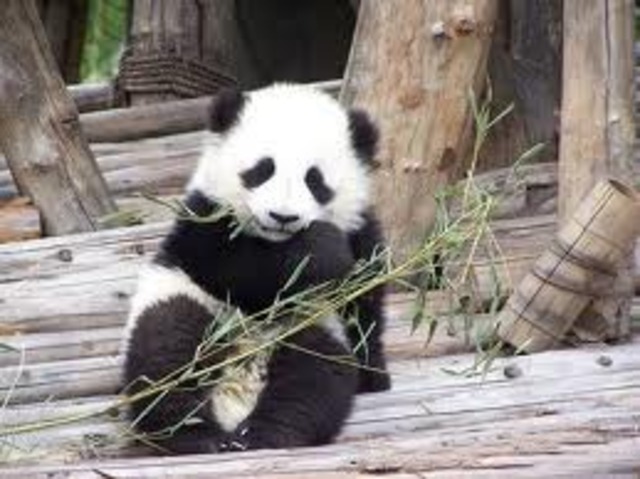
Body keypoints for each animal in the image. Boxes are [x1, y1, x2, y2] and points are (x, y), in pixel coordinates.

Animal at [122, 83, 390, 455]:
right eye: (263, 169)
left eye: (315, 180)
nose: (282, 217)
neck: (275, 240)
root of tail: (236, 398)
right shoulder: (203, 221)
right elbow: (234, 269)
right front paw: (322, 250)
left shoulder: (361, 235)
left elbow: (365, 306)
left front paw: (375, 376)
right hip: (187, 303)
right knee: (167, 347)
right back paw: (194, 433)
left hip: (310, 329)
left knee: (311, 379)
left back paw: (262, 435)